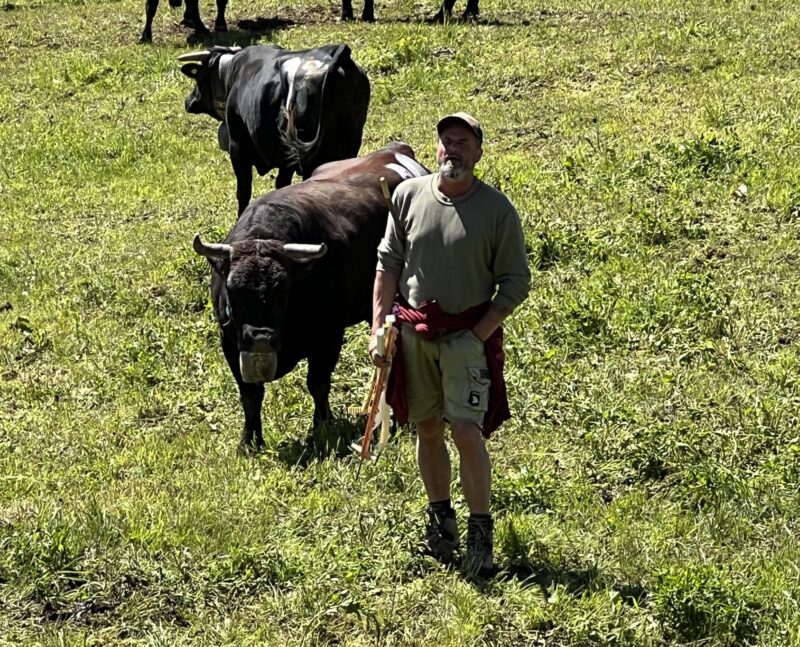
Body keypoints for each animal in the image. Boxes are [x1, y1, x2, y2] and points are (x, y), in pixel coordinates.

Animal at [180, 45, 370, 218]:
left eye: (199, 77)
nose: (189, 101)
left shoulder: (238, 148)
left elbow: (243, 191)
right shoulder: (285, 159)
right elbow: (281, 183)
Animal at [194, 141, 432, 450]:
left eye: (283, 289)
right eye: (233, 290)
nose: (261, 338)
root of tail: (395, 149)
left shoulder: (328, 337)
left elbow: (317, 383)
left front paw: (322, 424)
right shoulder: (231, 343)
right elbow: (250, 395)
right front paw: (249, 441)